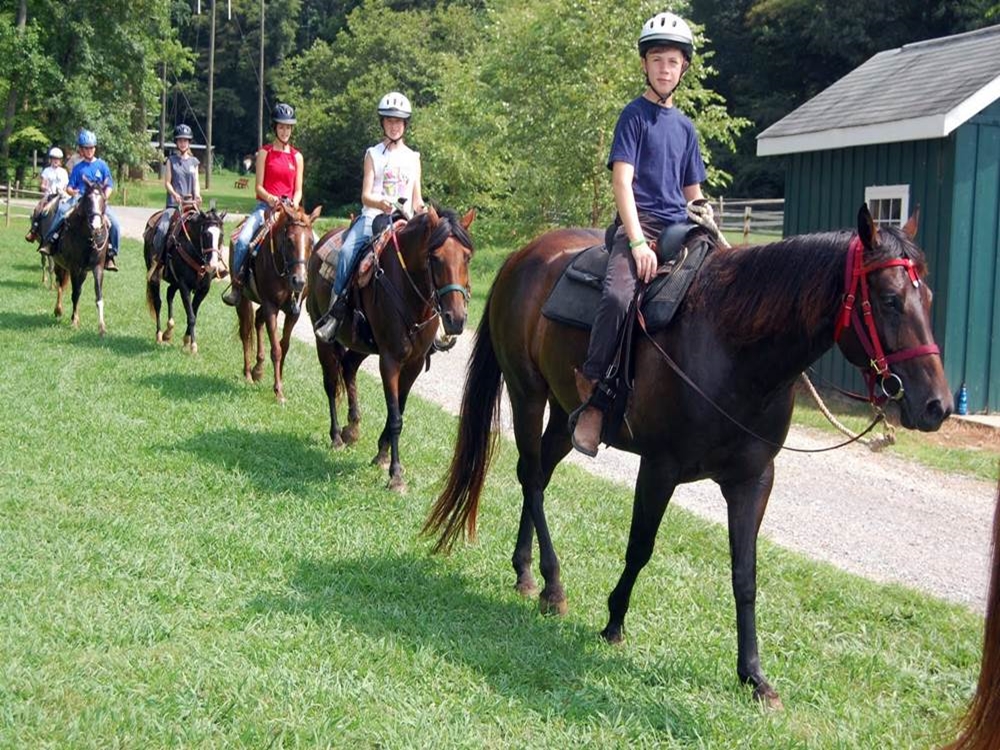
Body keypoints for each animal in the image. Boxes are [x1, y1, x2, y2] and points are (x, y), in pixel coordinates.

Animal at [52, 179, 110, 336]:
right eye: (88, 199)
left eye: (103, 200)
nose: (96, 226)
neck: (89, 238)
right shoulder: (74, 268)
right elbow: (75, 293)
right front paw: (74, 322)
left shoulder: (97, 268)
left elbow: (99, 295)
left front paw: (102, 327)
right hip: (59, 264)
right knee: (60, 285)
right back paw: (58, 310)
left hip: (83, 272)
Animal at [143, 204, 227, 352]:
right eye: (206, 234)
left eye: (221, 235)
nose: (212, 265)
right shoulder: (184, 286)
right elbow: (191, 315)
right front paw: (193, 345)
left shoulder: (203, 289)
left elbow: (193, 312)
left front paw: (187, 340)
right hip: (155, 276)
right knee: (158, 302)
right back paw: (159, 335)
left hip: (174, 282)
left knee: (169, 293)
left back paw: (168, 331)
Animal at [236, 202, 321, 403]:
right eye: (289, 240)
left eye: (311, 242)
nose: (299, 281)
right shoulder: (271, 307)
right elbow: (276, 349)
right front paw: (278, 392)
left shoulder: (293, 312)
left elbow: (285, 346)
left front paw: (279, 382)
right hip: (242, 299)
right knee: (245, 332)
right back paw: (248, 374)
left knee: (257, 320)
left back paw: (258, 369)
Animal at [306, 206, 475, 491]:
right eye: (435, 258)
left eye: (468, 257)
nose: (456, 319)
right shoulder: (390, 360)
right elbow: (395, 416)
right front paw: (395, 474)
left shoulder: (414, 362)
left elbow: (399, 410)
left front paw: (382, 455)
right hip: (324, 338)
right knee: (330, 383)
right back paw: (337, 436)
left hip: (360, 345)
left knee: (348, 368)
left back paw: (352, 428)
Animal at [423, 205, 951, 708]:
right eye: (889, 300)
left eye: (928, 299)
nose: (937, 406)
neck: (732, 346)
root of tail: (523, 255)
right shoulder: (659, 467)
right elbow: (640, 548)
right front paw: (613, 622)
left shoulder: (754, 480)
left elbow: (745, 575)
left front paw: (754, 676)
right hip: (527, 393)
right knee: (531, 477)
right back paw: (553, 586)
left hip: (564, 411)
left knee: (540, 474)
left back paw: (525, 570)